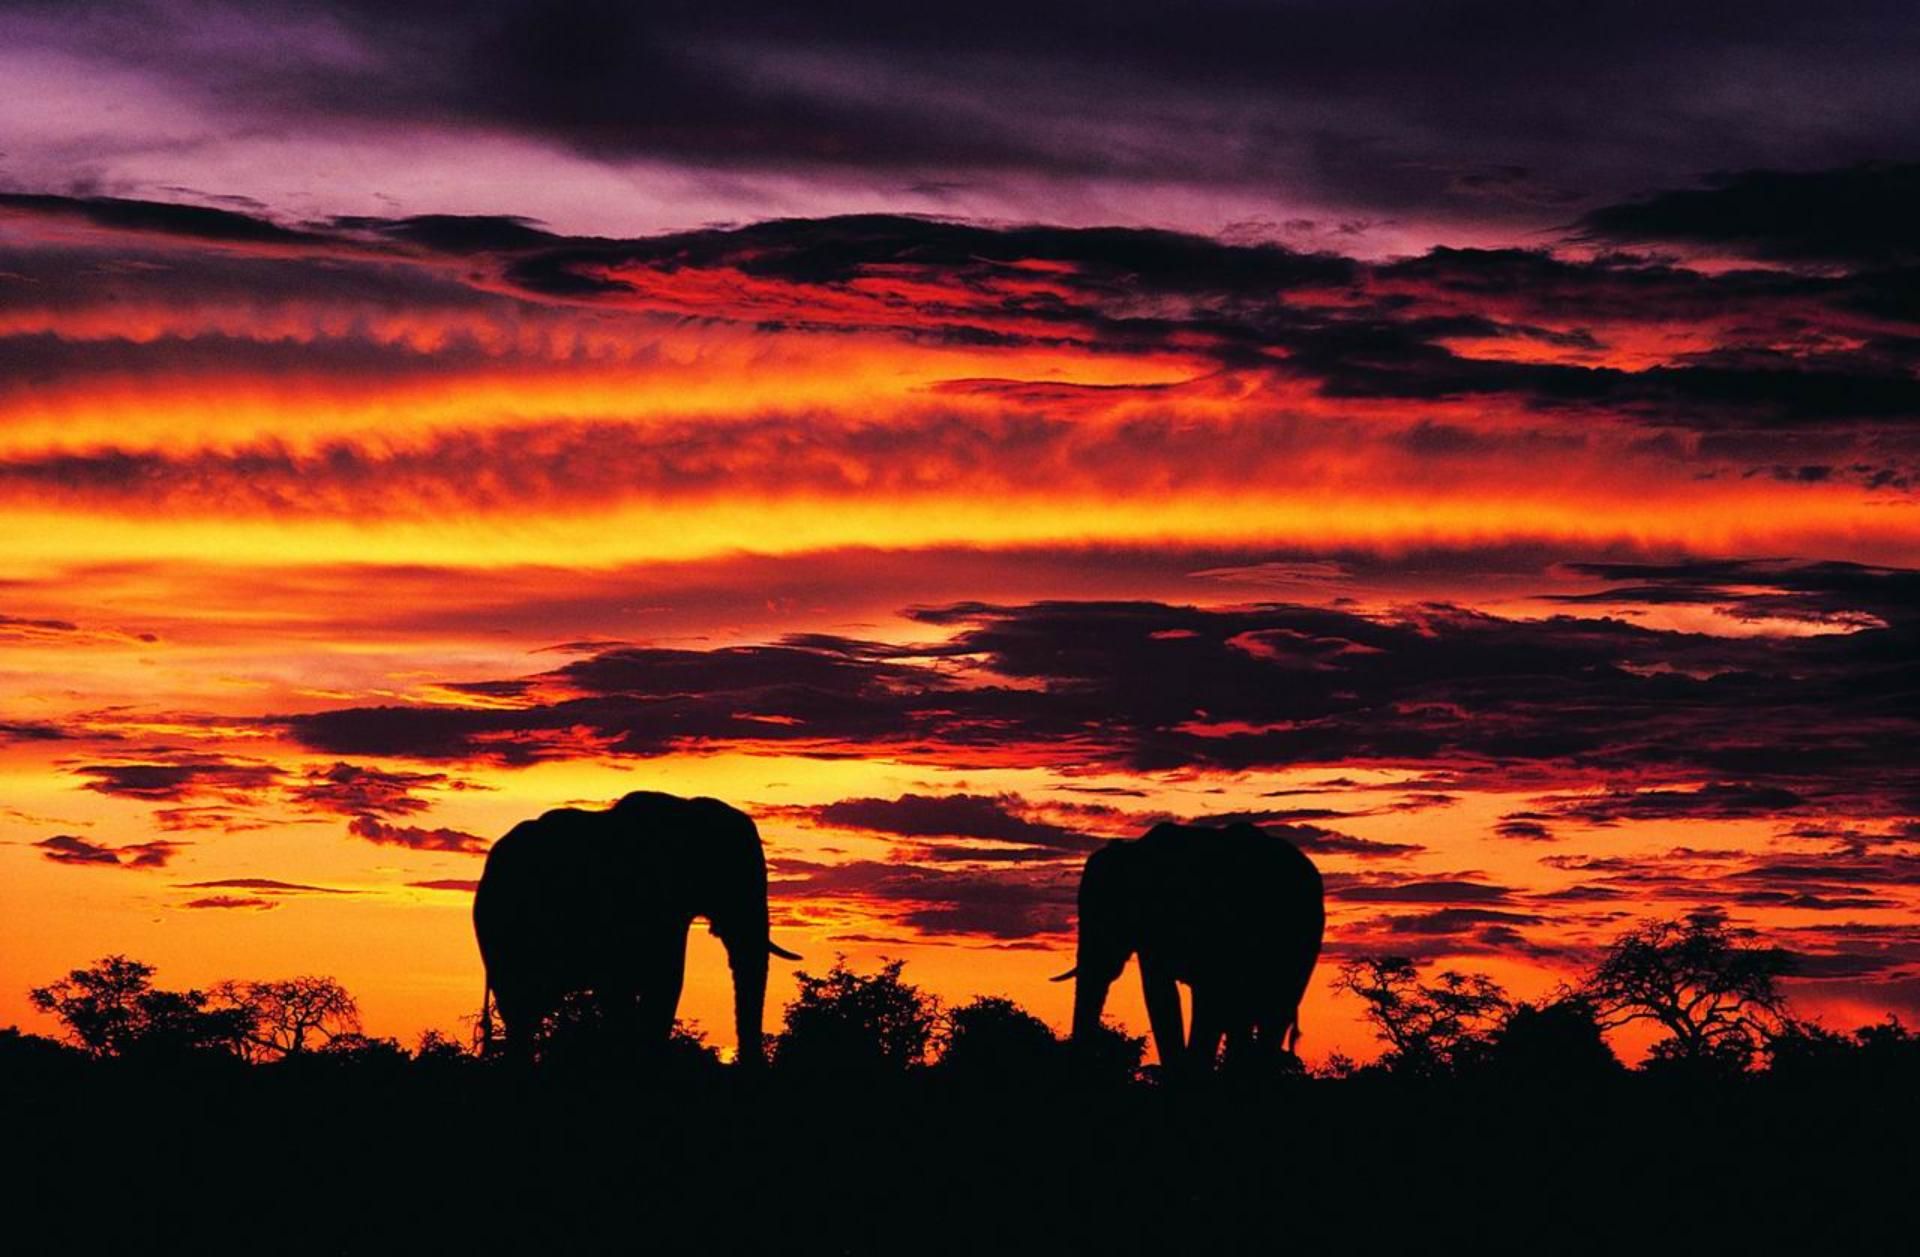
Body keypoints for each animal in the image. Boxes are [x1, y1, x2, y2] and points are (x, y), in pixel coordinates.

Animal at [476, 790, 798, 1067]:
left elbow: (667, 982)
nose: (752, 1064)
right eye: (729, 872)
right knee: (521, 1008)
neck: (685, 810)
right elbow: (624, 986)